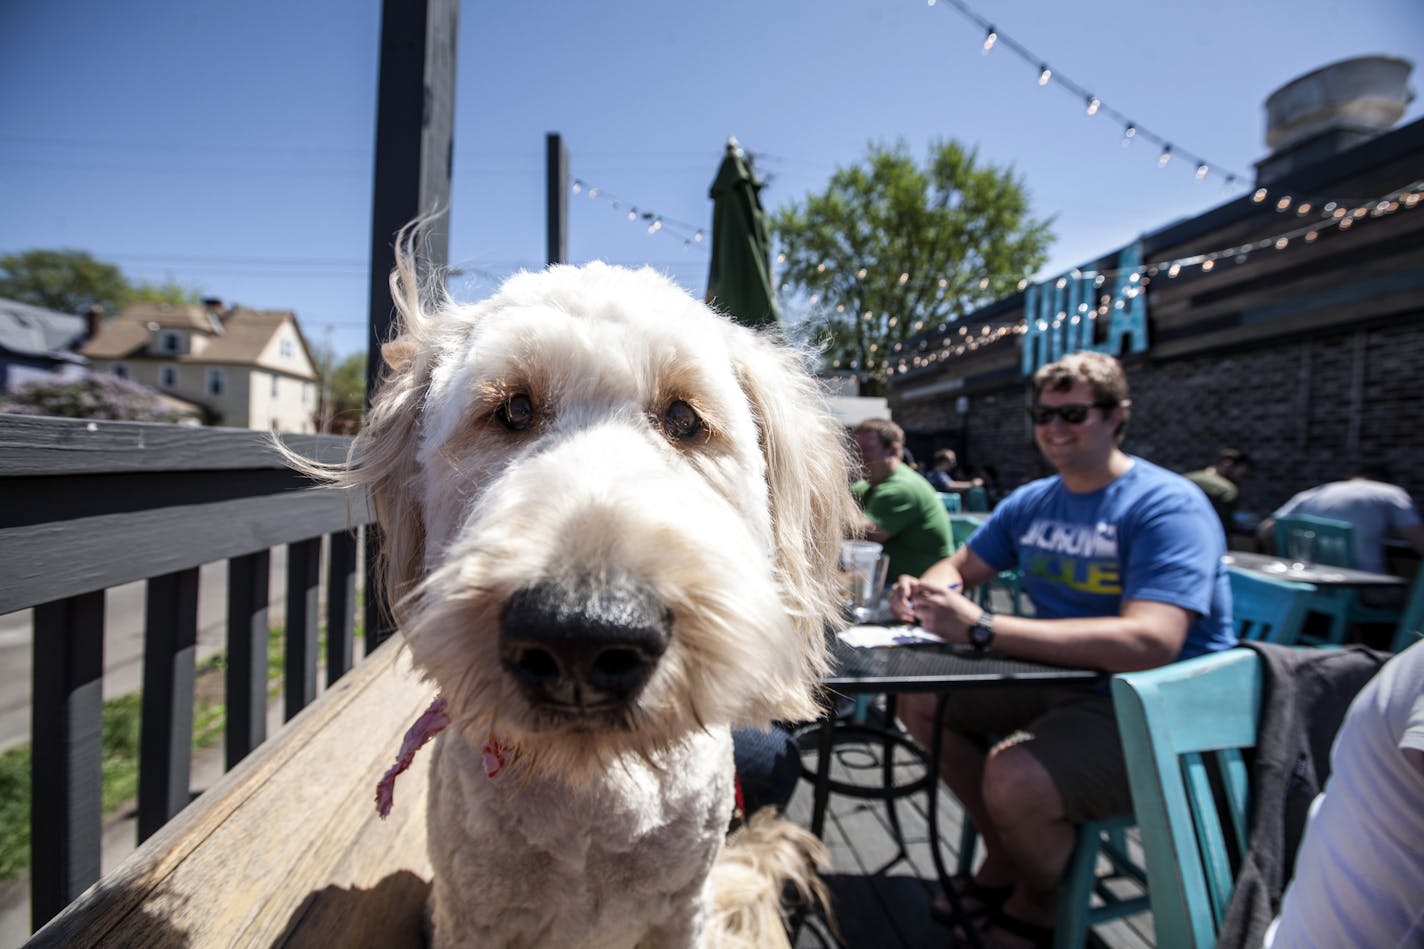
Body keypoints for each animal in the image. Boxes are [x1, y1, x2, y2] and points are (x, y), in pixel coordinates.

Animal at [296, 237, 854, 946]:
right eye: (512, 409)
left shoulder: (682, 910)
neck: (590, 796)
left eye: (683, 417)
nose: (580, 637)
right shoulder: (473, 915)